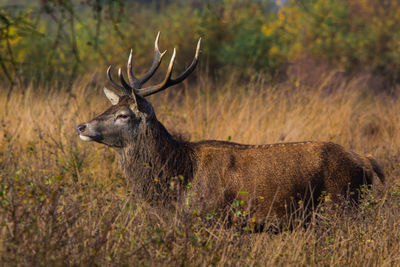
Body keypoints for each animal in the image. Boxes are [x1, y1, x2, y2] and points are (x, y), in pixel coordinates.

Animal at [75, 33, 384, 226]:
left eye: (124, 115)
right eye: (110, 108)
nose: (81, 126)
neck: (179, 177)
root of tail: (366, 161)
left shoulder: (212, 216)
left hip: (341, 203)